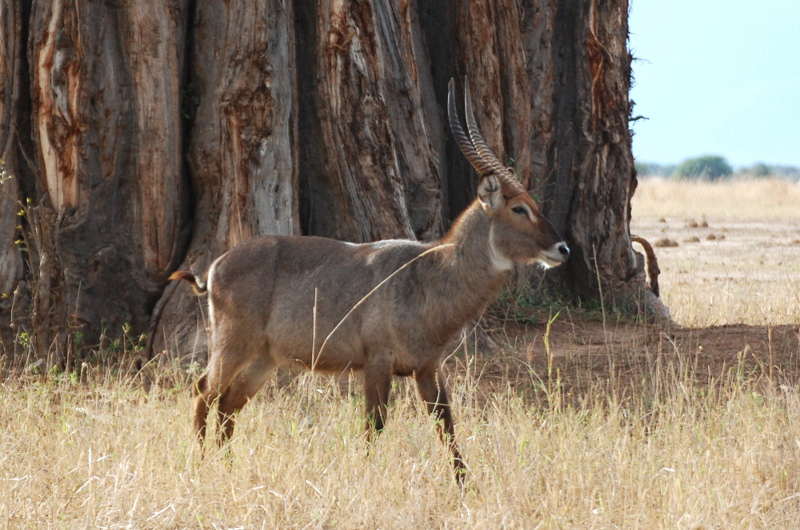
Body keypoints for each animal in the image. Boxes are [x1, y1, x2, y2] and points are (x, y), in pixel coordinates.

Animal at [169, 77, 568, 478]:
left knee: (228, 404)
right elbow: (374, 427)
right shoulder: (378, 361)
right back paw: (201, 463)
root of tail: (215, 267)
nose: (563, 248)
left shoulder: (428, 367)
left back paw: (226, 464)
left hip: (264, 358)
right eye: (519, 208)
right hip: (233, 345)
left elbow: (447, 427)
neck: (428, 274)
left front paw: (465, 485)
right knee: (204, 391)